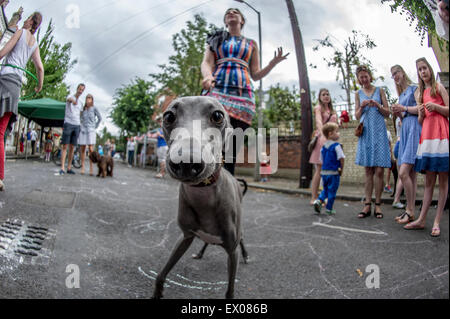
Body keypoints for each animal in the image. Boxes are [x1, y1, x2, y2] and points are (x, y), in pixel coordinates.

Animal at [153, 95, 248, 300]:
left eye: (218, 116)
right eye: (168, 116)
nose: (186, 163)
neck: (203, 196)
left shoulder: (232, 251)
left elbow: (230, 290)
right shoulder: (186, 237)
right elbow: (161, 274)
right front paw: (157, 293)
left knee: (242, 238)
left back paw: (246, 254)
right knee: (207, 240)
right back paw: (200, 252)